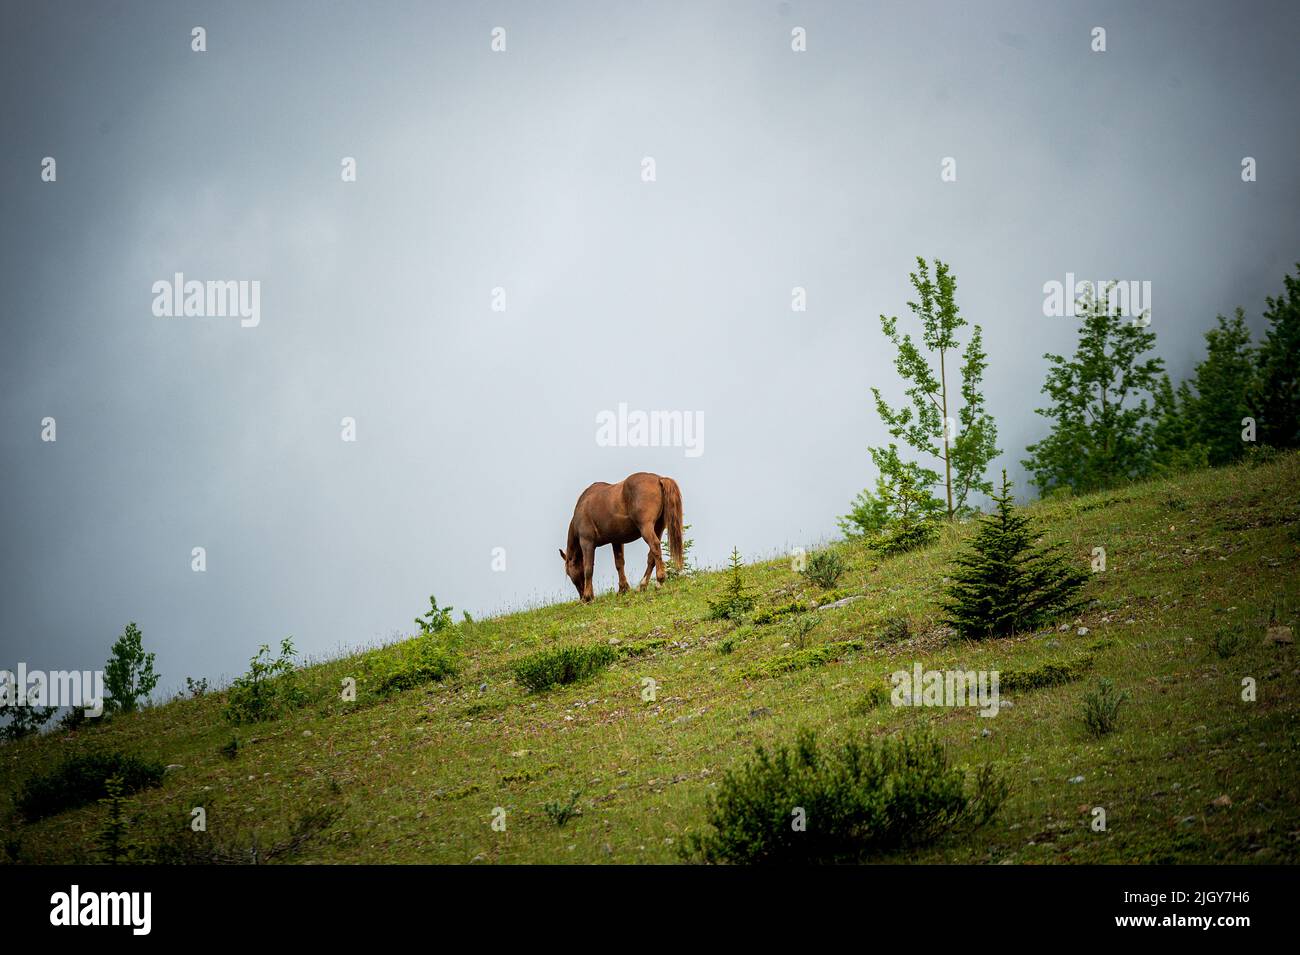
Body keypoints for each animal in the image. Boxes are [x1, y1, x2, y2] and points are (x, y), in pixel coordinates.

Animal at [556, 472, 686, 600]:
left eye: (569, 572)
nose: (581, 596)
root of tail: (659, 479)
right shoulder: (616, 541)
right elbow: (619, 563)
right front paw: (623, 589)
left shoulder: (587, 542)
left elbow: (588, 568)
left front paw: (588, 597)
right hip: (658, 528)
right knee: (651, 556)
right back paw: (642, 585)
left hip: (646, 527)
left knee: (654, 546)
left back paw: (659, 581)